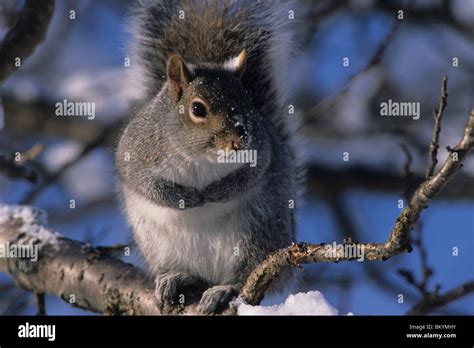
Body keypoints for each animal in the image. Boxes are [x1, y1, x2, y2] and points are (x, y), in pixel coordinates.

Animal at [116, 0, 304, 314]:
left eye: (248, 103)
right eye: (197, 109)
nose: (241, 139)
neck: (200, 158)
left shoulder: (262, 153)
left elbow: (249, 177)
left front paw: (216, 192)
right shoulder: (136, 152)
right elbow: (145, 183)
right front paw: (186, 198)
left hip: (257, 235)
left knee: (244, 275)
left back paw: (222, 289)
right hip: (159, 245)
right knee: (193, 274)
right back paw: (176, 277)